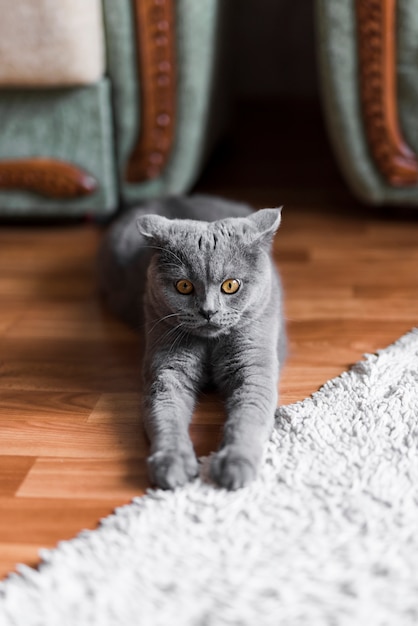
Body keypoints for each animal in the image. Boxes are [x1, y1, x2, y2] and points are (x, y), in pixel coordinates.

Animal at [99, 194, 286, 488]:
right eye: (184, 286)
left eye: (231, 285)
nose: (208, 311)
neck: (210, 345)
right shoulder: (167, 370)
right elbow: (165, 416)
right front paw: (172, 464)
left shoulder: (254, 367)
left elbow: (248, 417)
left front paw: (235, 464)